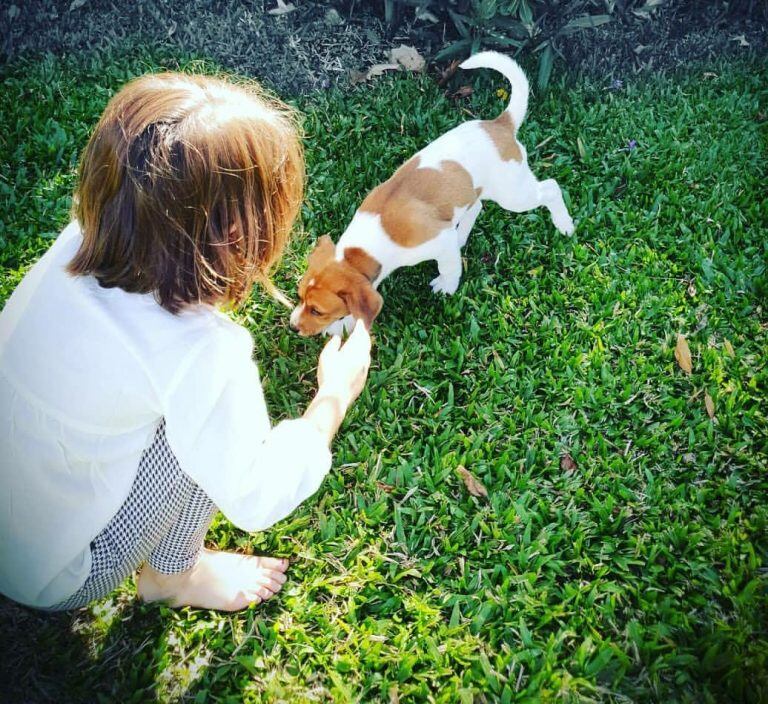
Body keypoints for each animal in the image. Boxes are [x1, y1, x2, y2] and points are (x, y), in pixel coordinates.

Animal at [292, 49, 572, 336]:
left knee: (550, 187)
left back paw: (564, 224)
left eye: (317, 311)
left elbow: (448, 267)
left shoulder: (436, 240)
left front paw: (447, 286)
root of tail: (500, 125)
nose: (293, 327)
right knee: (476, 207)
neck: (361, 250)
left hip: (513, 194)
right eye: (300, 297)